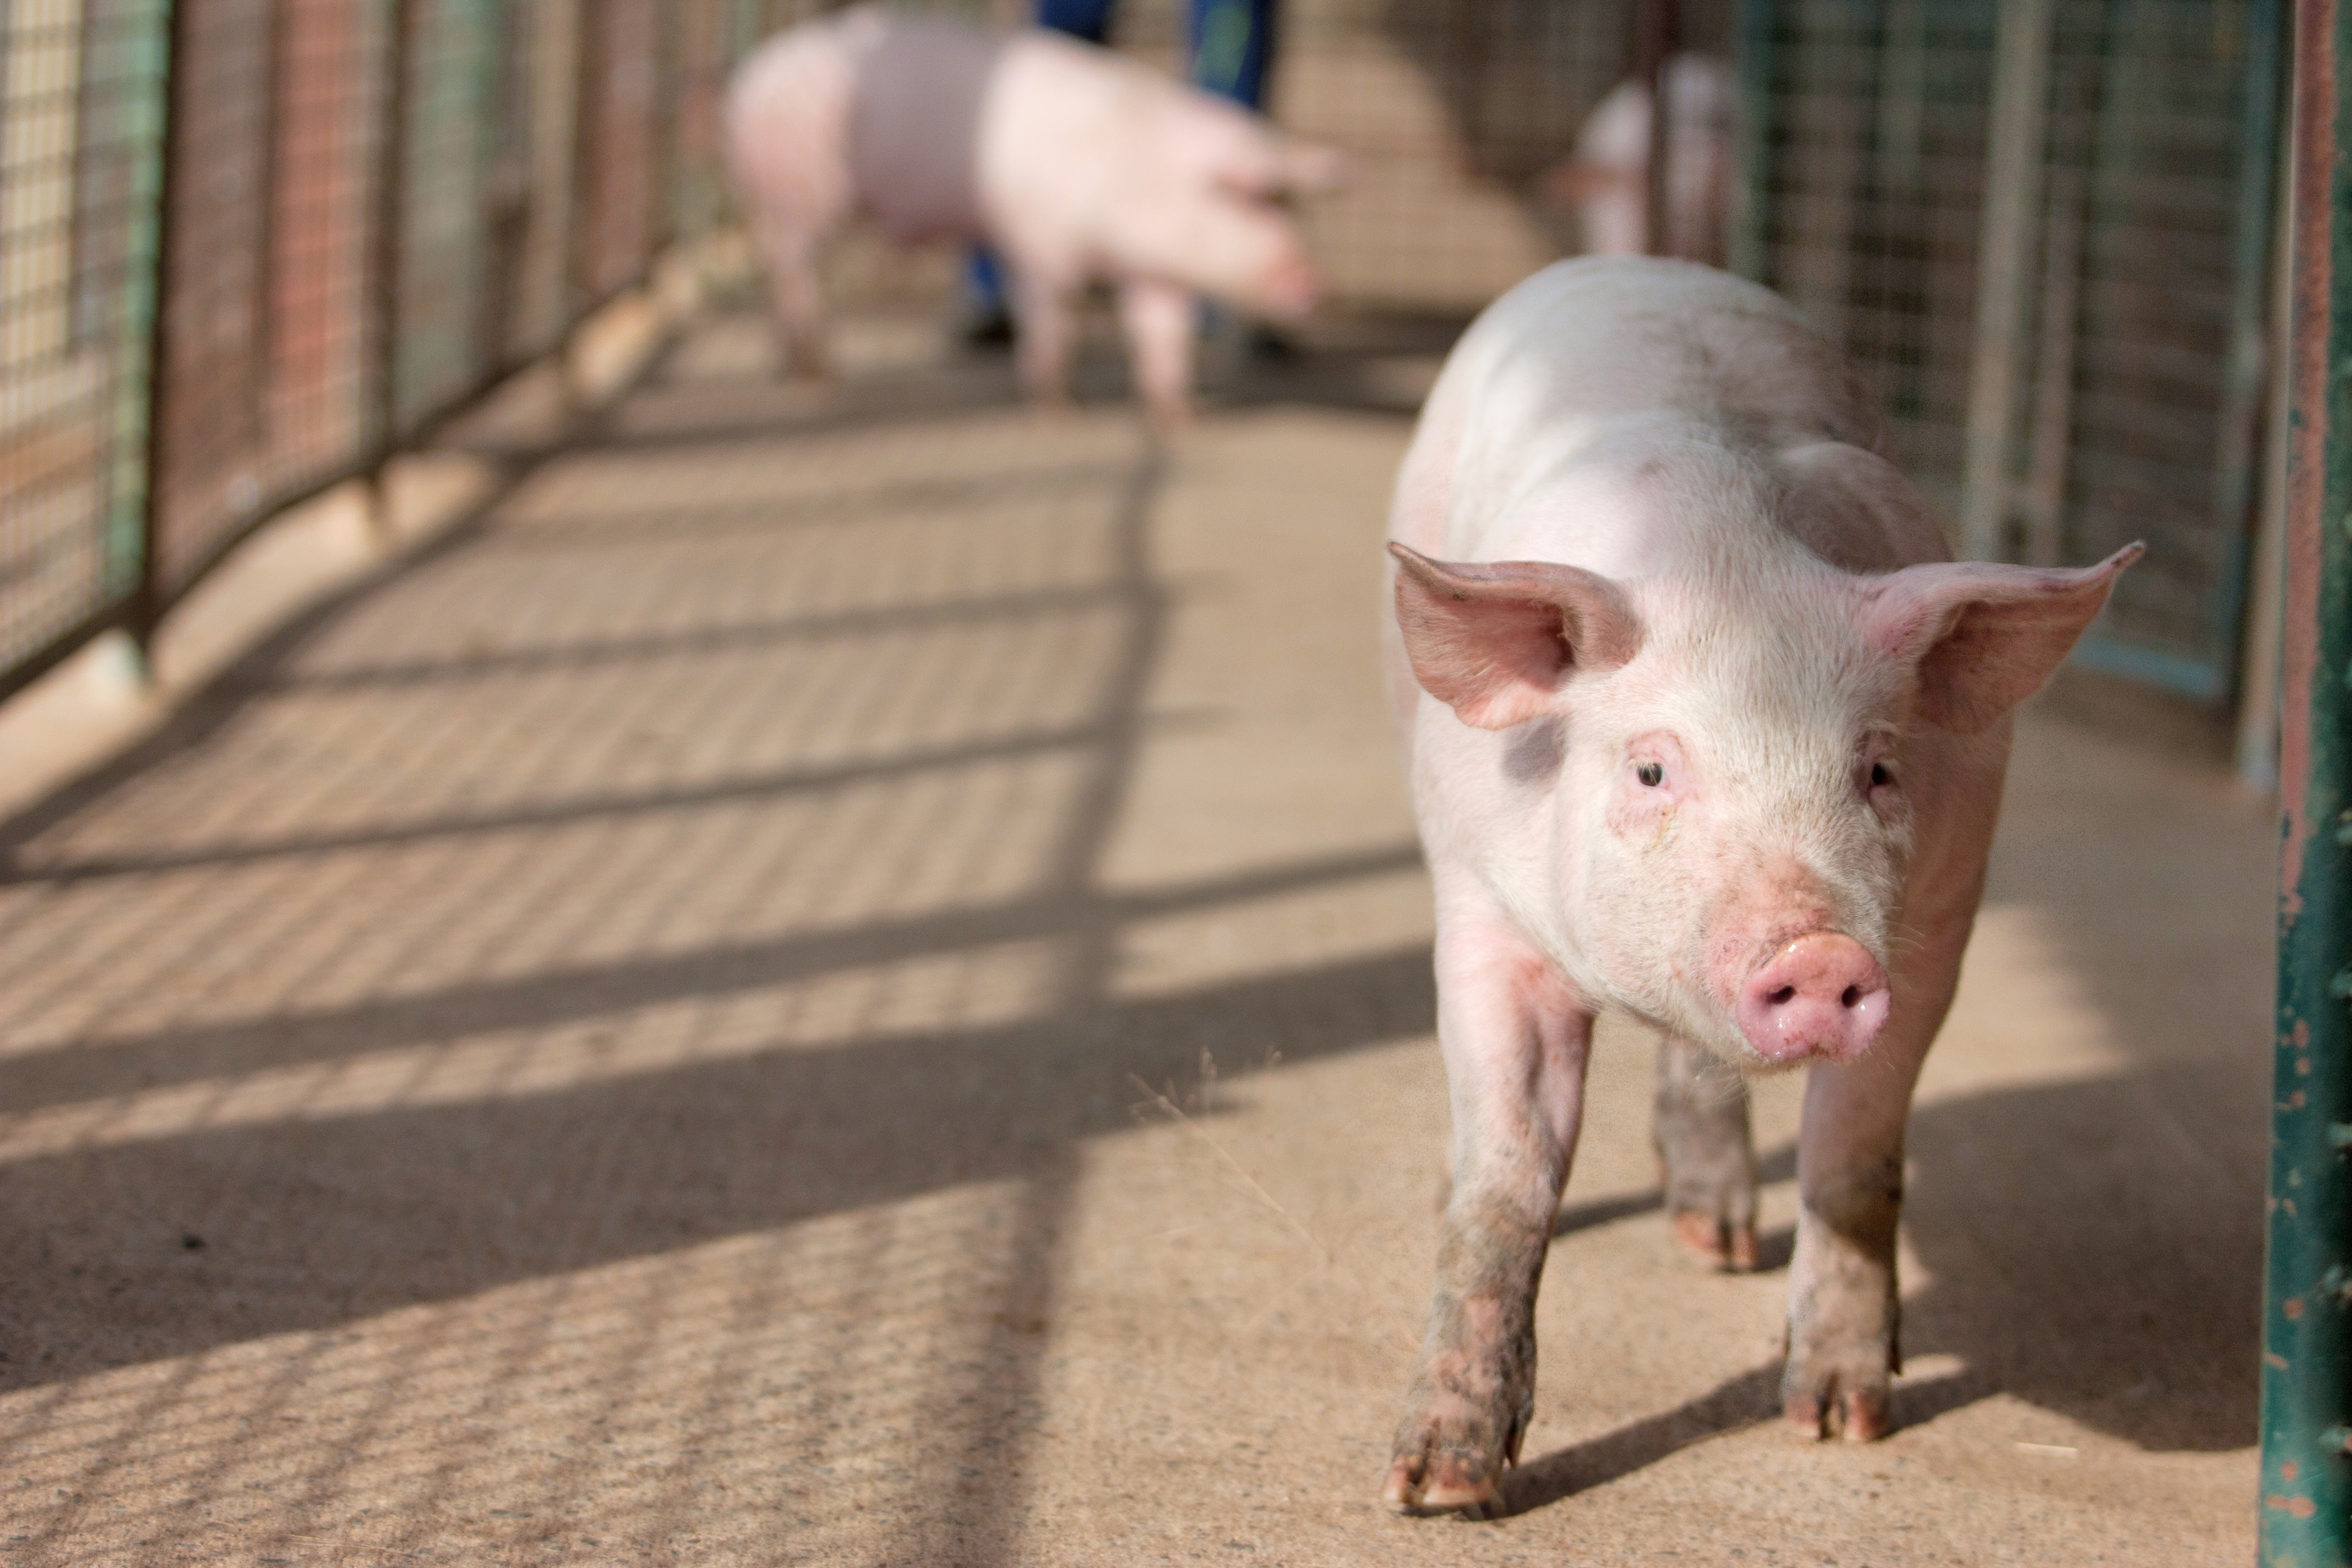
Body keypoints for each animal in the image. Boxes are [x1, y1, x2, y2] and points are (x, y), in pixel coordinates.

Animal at [722, 4, 1340, 426]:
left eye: (1286, 204)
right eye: (1251, 202)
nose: (1311, 283)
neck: (1132, 177)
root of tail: (749, 79)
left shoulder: (1151, 270)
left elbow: (1161, 335)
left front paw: (1183, 417)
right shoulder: (1041, 243)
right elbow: (1054, 319)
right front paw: (1061, 410)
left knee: (775, 272)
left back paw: (790, 367)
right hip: (802, 194)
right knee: (795, 274)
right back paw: (817, 381)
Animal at [1378, 256, 2136, 1515]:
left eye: (1877, 768)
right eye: (1650, 768)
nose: (1818, 950)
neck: (1730, 565)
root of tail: (1645, 264)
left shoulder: (1938, 927)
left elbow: (1854, 1160)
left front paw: (1839, 1422)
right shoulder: (1483, 908)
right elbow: (1507, 1180)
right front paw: (1436, 1487)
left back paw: (1721, 1243)